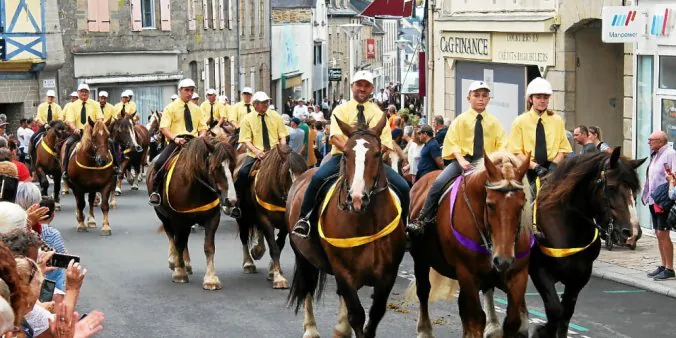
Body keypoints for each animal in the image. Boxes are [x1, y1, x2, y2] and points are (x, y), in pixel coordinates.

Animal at [147, 133, 239, 290]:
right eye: (216, 167)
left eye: (232, 166)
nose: (231, 200)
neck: (194, 186)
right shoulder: (177, 219)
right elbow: (178, 243)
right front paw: (179, 273)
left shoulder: (212, 218)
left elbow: (209, 247)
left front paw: (211, 279)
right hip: (163, 216)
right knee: (171, 236)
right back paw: (174, 261)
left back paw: (186, 264)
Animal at [236, 143, 308, 288]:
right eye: (288, 173)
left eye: (305, 171)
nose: (298, 197)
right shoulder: (265, 220)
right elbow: (274, 248)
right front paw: (278, 278)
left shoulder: (285, 224)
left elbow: (278, 245)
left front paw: (273, 272)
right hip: (243, 218)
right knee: (244, 237)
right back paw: (248, 263)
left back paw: (258, 250)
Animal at [286, 114, 406, 338]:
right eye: (347, 154)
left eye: (377, 154)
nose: (357, 198)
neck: (367, 222)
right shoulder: (344, 272)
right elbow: (357, 315)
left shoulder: (387, 275)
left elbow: (374, 315)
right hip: (303, 256)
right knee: (307, 287)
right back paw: (311, 329)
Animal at [406, 152, 532, 338]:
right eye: (490, 204)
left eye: (521, 204)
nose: (503, 260)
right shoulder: (467, 273)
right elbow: (476, 320)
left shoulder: (518, 275)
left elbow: (513, 321)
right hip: (421, 258)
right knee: (423, 290)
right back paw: (424, 330)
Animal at [524, 148, 648, 338]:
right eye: (611, 187)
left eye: (634, 190)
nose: (633, 232)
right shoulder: (539, 271)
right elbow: (555, 310)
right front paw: (540, 330)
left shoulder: (579, 276)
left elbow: (565, 314)